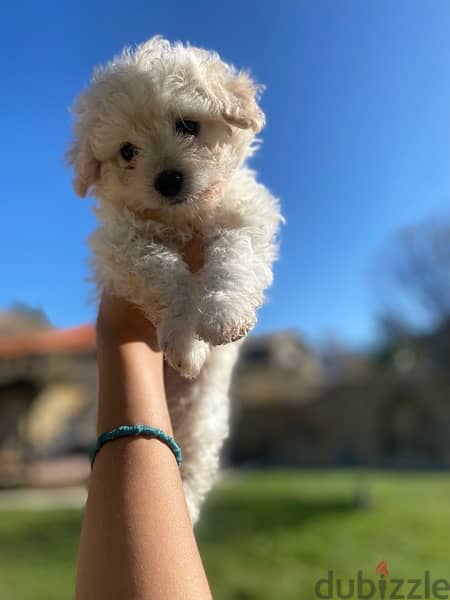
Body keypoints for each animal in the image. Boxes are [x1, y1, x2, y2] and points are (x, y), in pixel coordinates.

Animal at [68, 36, 284, 520]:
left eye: (188, 124)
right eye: (127, 152)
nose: (167, 180)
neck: (183, 220)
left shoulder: (245, 215)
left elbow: (234, 257)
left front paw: (223, 315)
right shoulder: (122, 246)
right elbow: (164, 271)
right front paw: (188, 344)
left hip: (203, 420)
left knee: (195, 468)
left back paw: (184, 504)